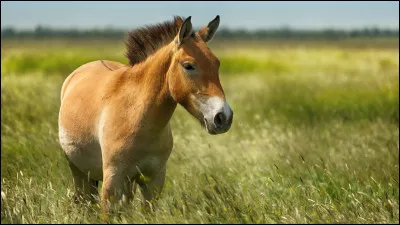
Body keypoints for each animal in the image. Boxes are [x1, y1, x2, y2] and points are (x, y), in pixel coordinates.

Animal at [57, 14, 233, 215]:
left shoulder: (153, 182)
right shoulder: (112, 183)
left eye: (216, 64)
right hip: (79, 173)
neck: (137, 117)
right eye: (189, 66)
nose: (223, 117)